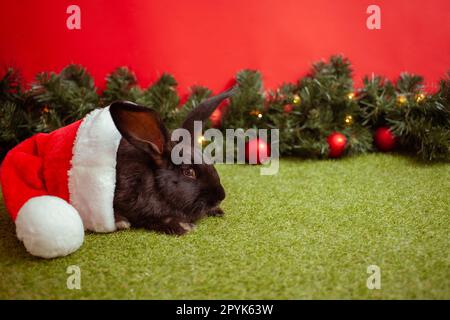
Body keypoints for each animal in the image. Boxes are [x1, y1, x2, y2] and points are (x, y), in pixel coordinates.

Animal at [110, 87, 237, 235]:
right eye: (188, 172)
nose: (220, 196)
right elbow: (155, 220)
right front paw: (184, 226)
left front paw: (218, 211)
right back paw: (120, 222)